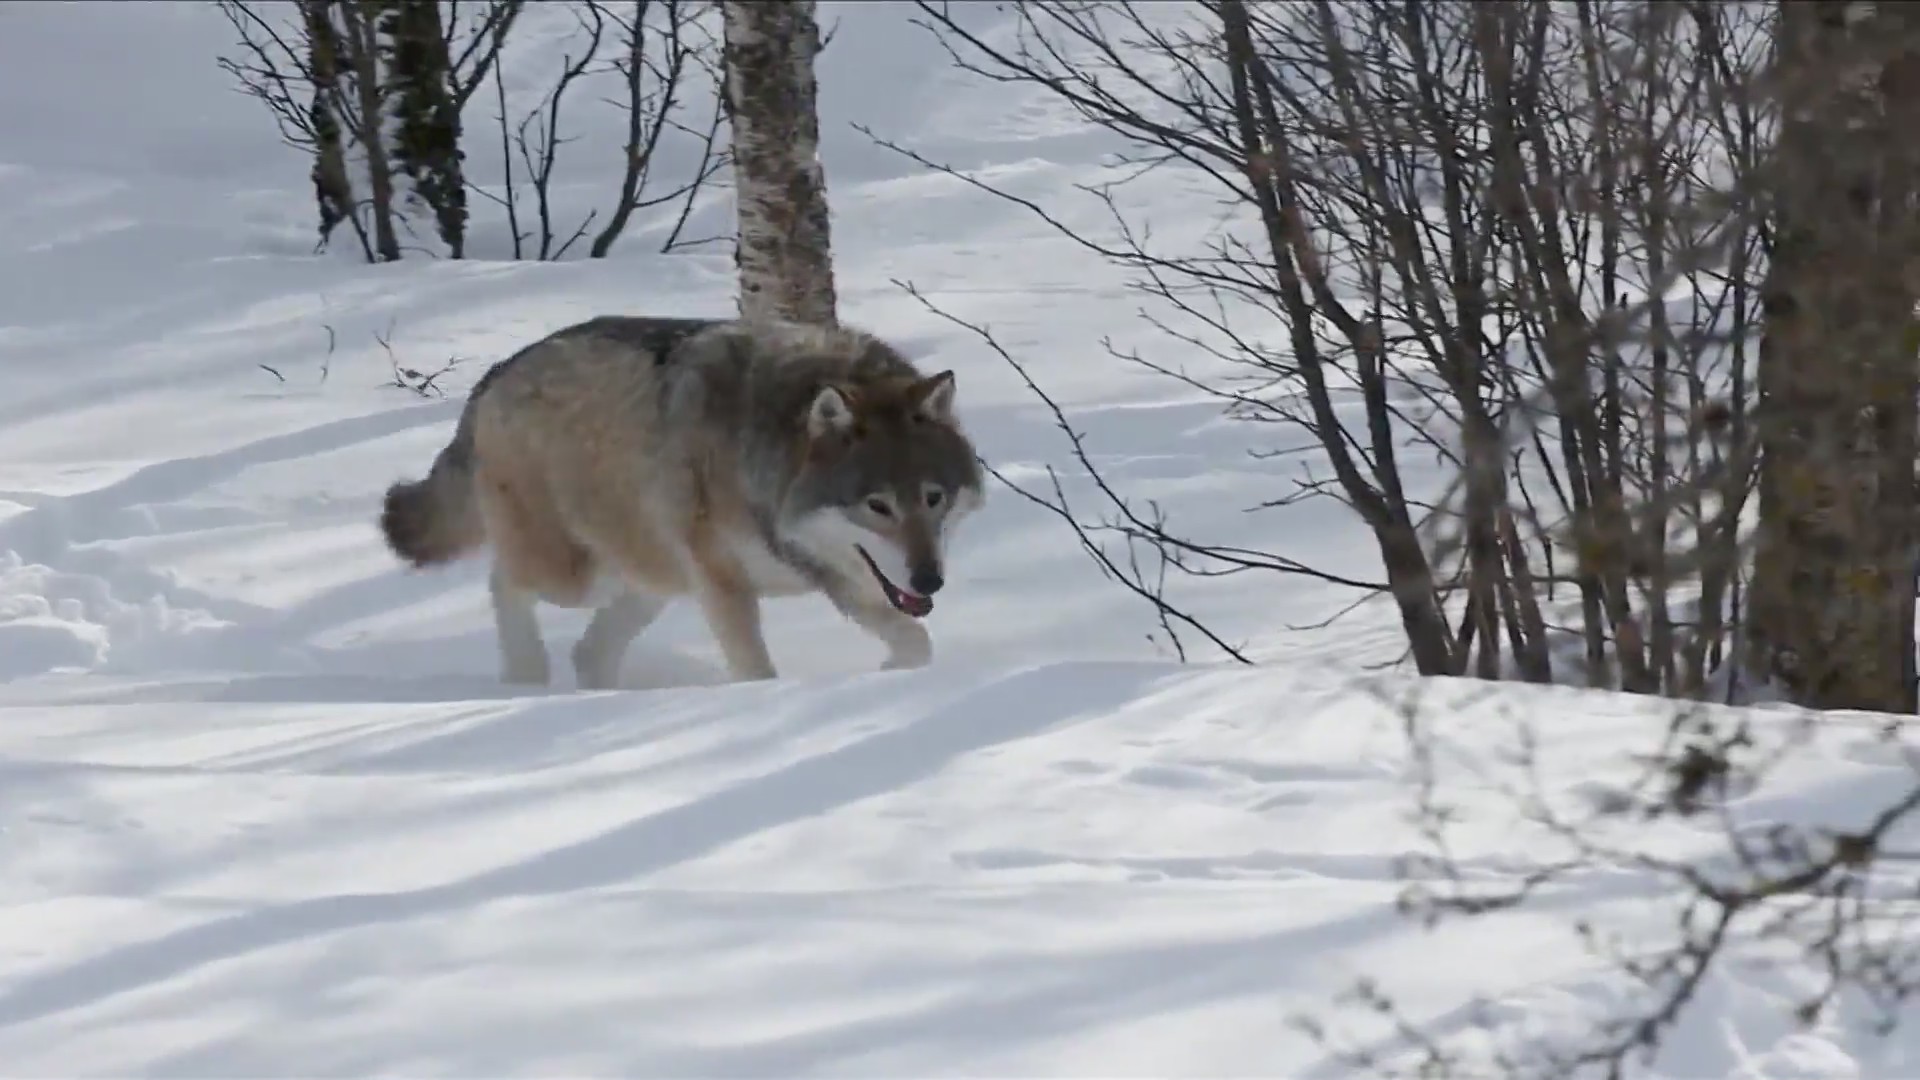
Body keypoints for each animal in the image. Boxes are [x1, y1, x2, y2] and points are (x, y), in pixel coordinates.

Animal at [372, 311, 983, 687]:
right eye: (878, 506)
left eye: (934, 498)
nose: (930, 580)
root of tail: (492, 377)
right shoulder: (723, 583)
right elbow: (756, 671)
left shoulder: (844, 582)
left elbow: (917, 643)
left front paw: (890, 674)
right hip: (579, 576)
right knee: (504, 581)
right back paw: (527, 677)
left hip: (652, 579)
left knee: (587, 651)